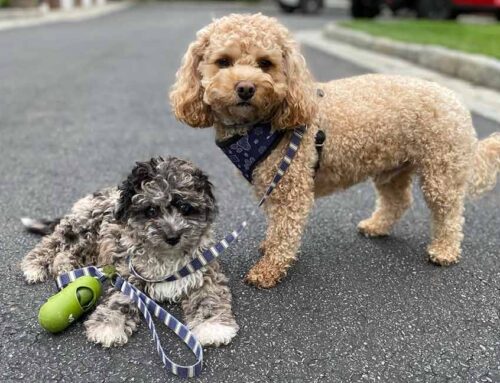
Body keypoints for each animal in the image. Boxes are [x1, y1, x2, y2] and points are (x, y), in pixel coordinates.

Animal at [23, 158, 240, 350]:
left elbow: (209, 297)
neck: (167, 255)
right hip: (82, 226)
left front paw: (213, 326)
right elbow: (118, 300)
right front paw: (108, 325)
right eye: (151, 210)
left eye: (185, 207)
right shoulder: (128, 275)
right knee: (53, 242)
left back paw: (67, 269)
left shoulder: (204, 273)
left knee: (69, 253)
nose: (172, 237)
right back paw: (35, 265)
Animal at [170, 12, 500, 288]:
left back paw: (444, 250)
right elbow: (275, 225)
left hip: (441, 169)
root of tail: (455, 99)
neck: (261, 127)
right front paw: (267, 247)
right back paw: (376, 226)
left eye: (265, 63)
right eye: (223, 62)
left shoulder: (291, 186)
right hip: (393, 167)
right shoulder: (272, 184)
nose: (246, 88)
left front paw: (268, 269)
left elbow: (284, 231)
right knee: (398, 200)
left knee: (449, 213)